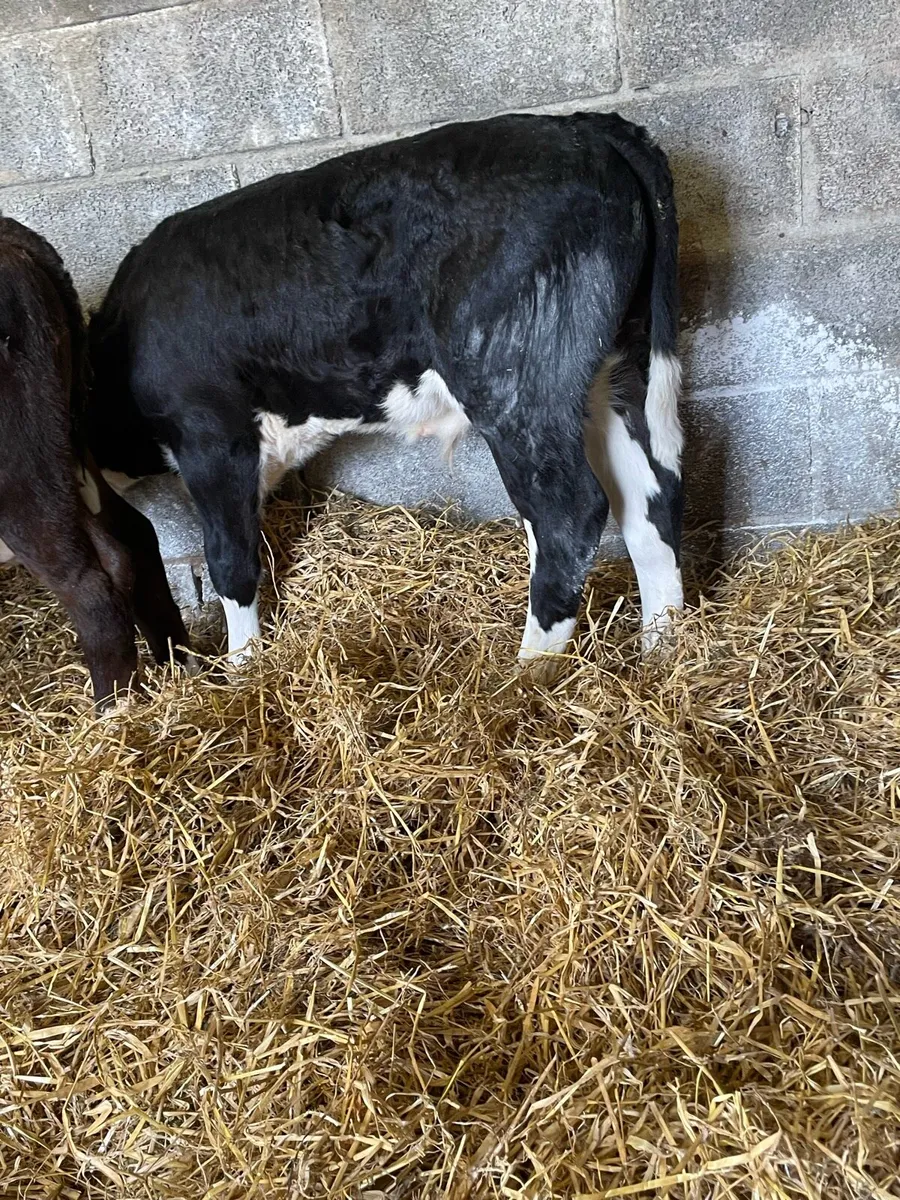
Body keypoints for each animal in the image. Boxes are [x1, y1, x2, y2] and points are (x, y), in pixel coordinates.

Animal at [0, 217, 192, 708]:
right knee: (133, 538)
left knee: (89, 584)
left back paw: (114, 710)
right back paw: (180, 667)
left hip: (20, 475)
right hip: (66, 455)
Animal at [87, 112, 684, 681]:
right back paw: (661, 653)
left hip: (515, 382)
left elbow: (230, 561)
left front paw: (241, 671)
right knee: (651, 497)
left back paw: (524, 677)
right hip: (619, 371)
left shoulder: (212, 438)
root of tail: (582, 127)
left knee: (567, 513)